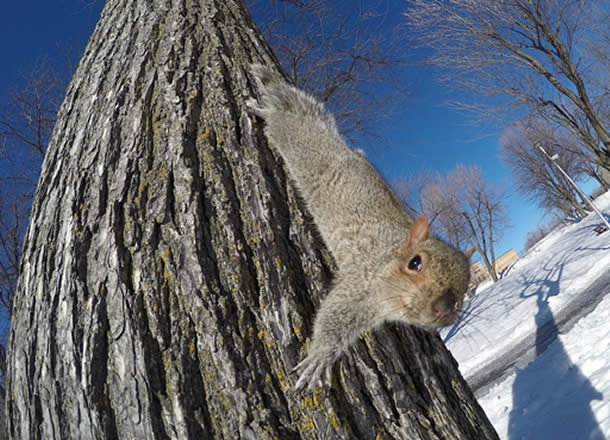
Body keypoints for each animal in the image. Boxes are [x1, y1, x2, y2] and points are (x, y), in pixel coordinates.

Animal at [245, 63, 472, 390]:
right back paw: (262, 109)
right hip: (292, 140)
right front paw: (321, 356)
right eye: (415, 263)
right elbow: (332, 315)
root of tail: (339, 149)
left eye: (464, 291)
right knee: (280, 118)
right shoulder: (358, 283)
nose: (443, 308)